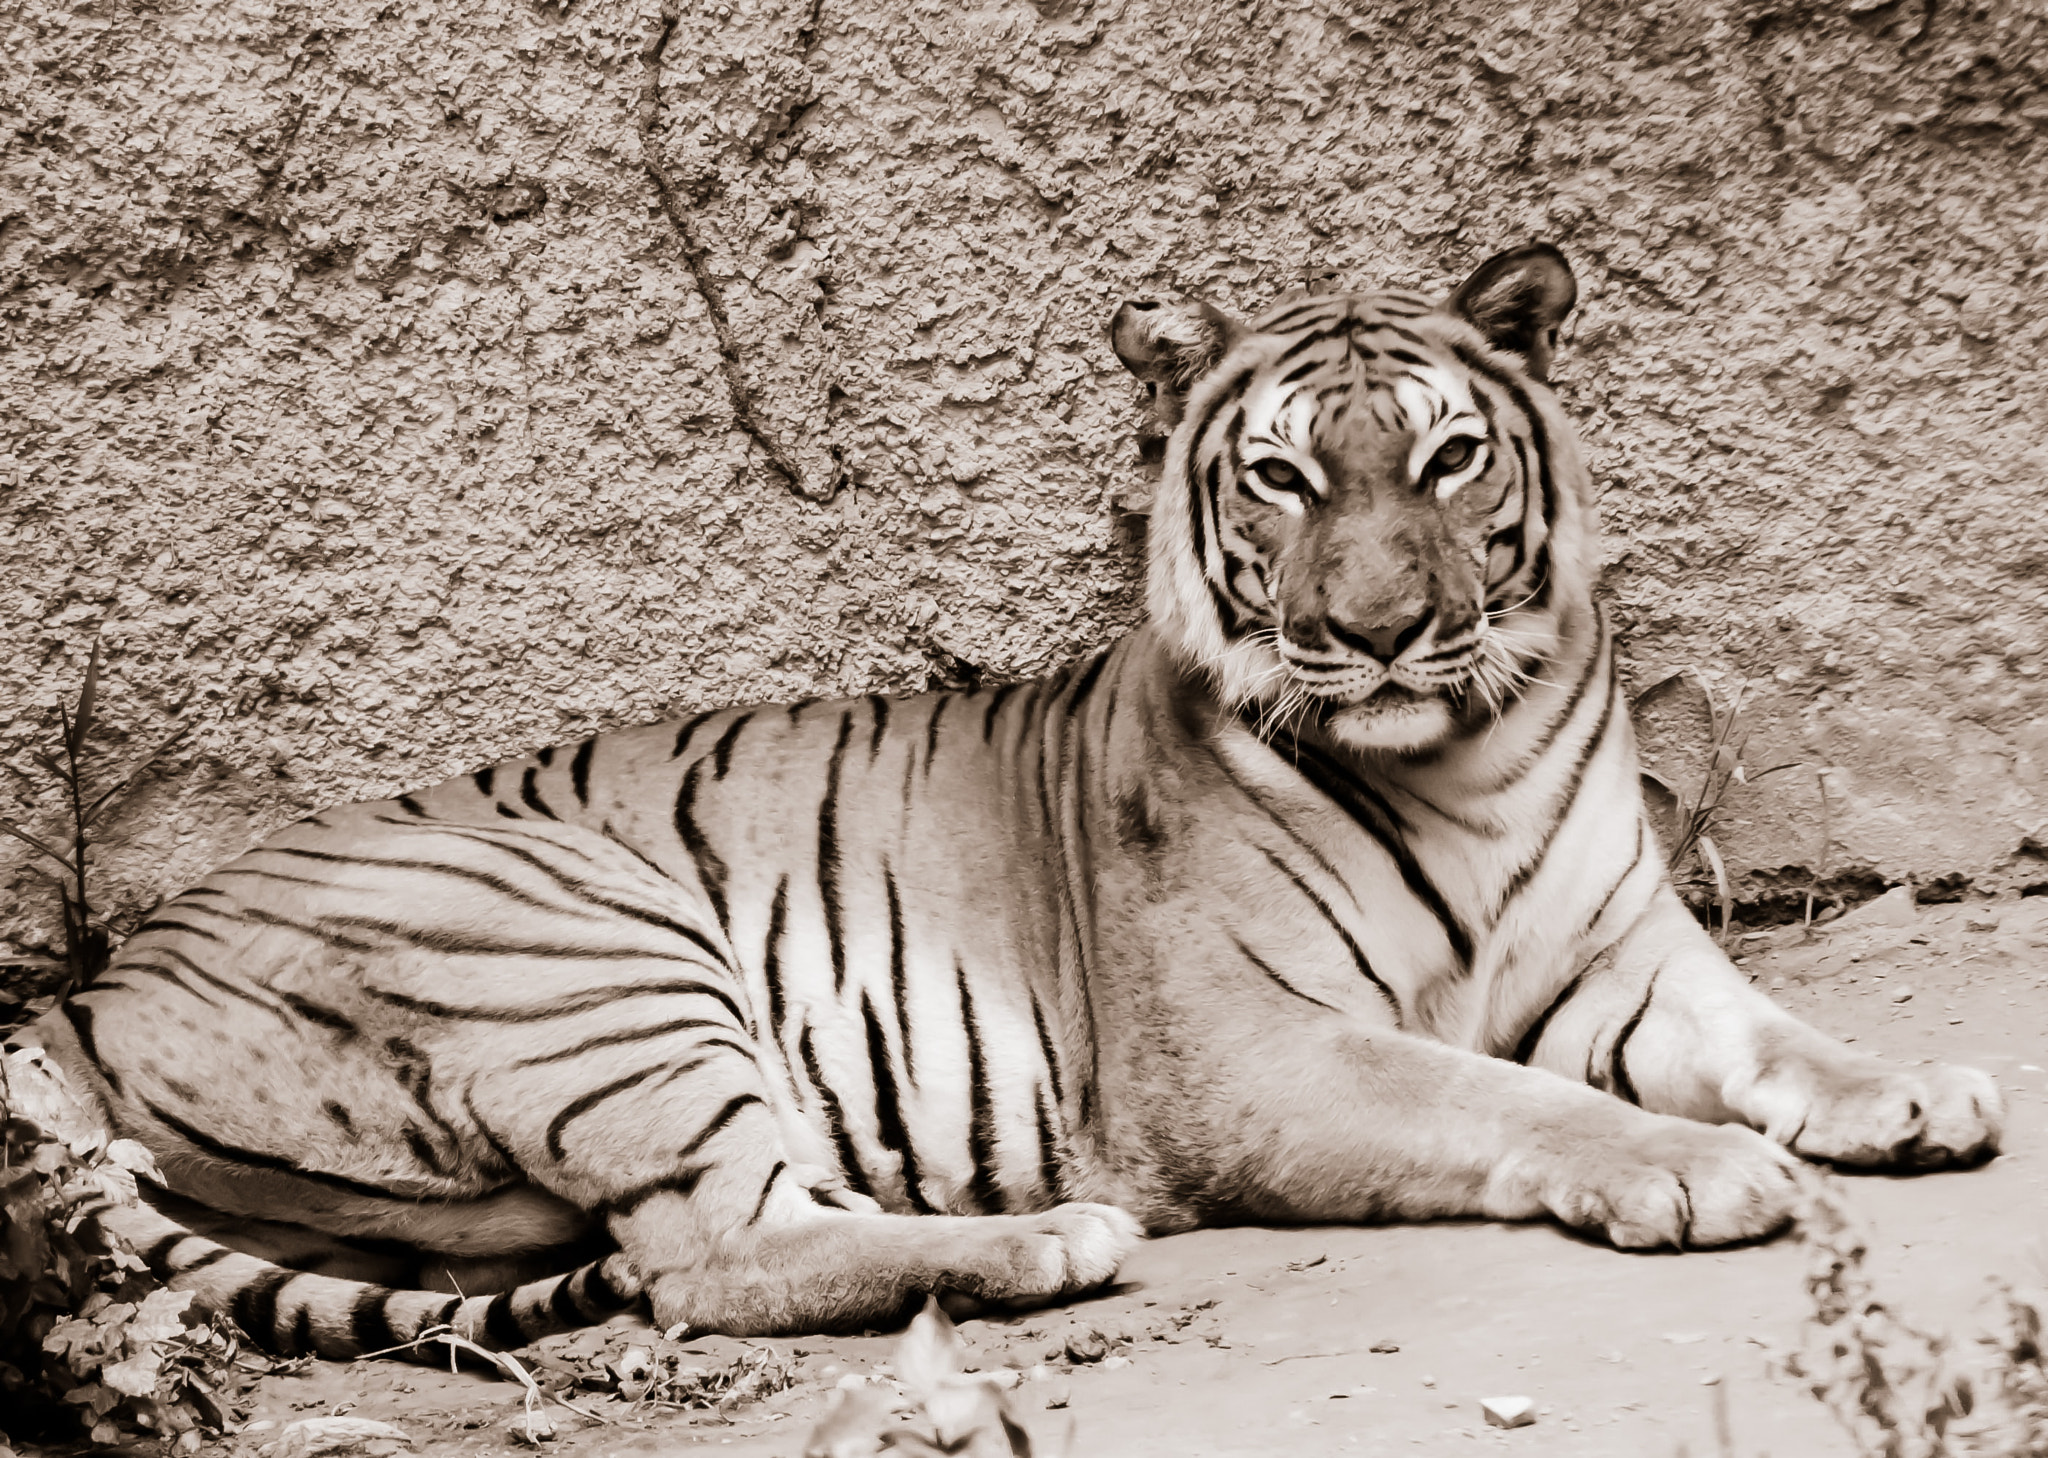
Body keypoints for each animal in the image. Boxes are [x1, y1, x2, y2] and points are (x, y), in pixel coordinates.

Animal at [19, 244, 2002, 1362]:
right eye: (1281, 477)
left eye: (1449, 458)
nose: (1378, 632)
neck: (1465, 757)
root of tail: (86, 991)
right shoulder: (1251, 1052)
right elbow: (1500, 1093)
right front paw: (1694, 1166)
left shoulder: (1629, 957)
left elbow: (1776, 1033)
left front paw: (1909, 1091)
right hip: (580, 944)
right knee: (703, 1257)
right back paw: (1043, 1239)